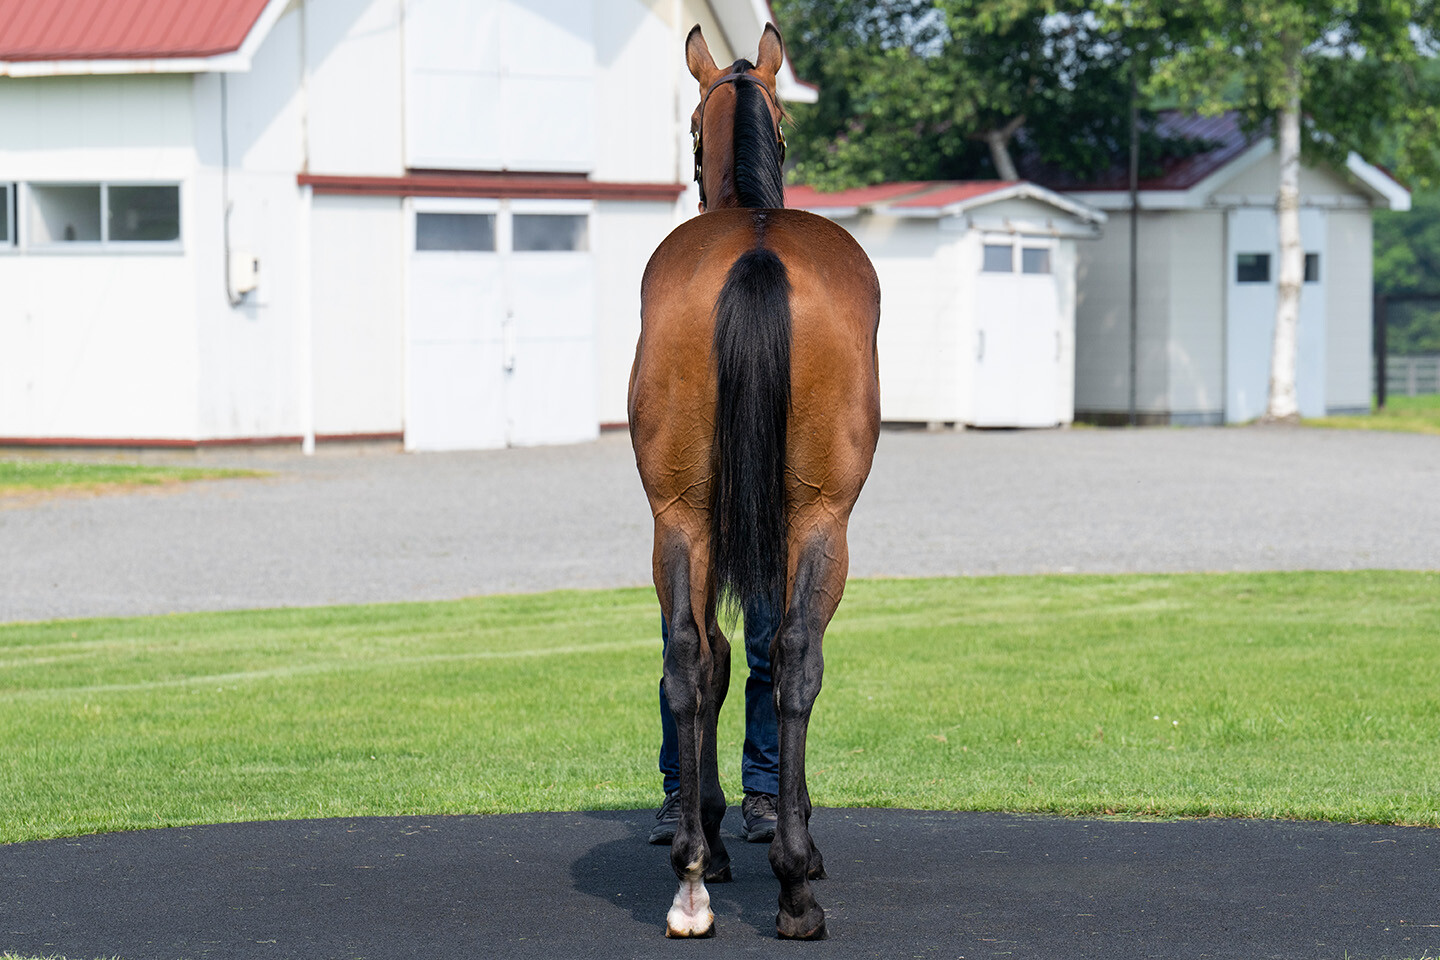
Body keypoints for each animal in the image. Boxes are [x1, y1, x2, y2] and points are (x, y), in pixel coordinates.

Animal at [627, 20, 881, 938]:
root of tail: (757, 249)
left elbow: (713, 656)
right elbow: (779, 656)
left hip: (679, 515)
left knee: (690, 656)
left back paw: (694, 871)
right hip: (822, 518)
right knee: (797, 654)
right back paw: (795, 883)